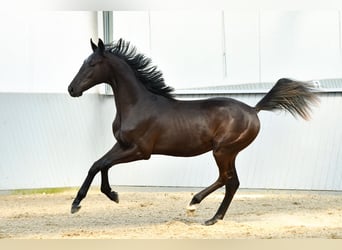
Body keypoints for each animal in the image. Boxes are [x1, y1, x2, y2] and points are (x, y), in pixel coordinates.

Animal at [68, 38, 320, 226]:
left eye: (92, 64)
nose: (71, 89)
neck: (138, 105)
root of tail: (253, 109)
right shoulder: (121, 145)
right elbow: (98, 165)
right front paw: (100, 198)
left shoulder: (140, 151)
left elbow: (102, 164)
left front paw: (82, 202)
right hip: (230, 153)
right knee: (233, 182)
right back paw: (214, 218)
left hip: (222, 151)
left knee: (225, 178)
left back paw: (193, 203)